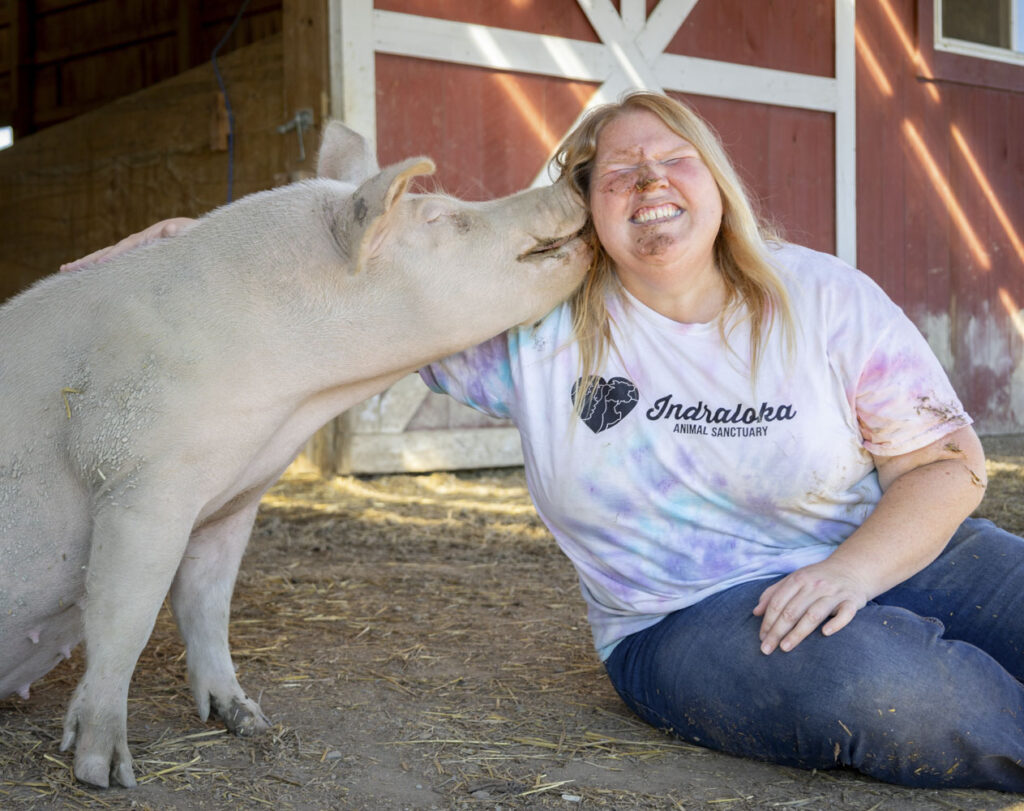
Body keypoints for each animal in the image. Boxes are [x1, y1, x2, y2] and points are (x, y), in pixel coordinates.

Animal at [0, 123, 589, 790]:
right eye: (441, 216)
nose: (575, 175)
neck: (295, 396)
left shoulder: (231, 502)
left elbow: (207, 605)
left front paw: (248, 721)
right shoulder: (140, 484)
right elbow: (124, 618)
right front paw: (105, 773)